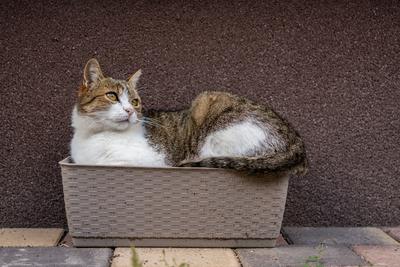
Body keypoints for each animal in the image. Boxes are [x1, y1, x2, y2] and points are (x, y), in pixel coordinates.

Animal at [70, 59, 308, 176]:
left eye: (135, 101)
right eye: (112, 95)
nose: (130, 111)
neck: (95, 136)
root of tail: (298, 142)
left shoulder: (153, 161)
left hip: (210, 114)